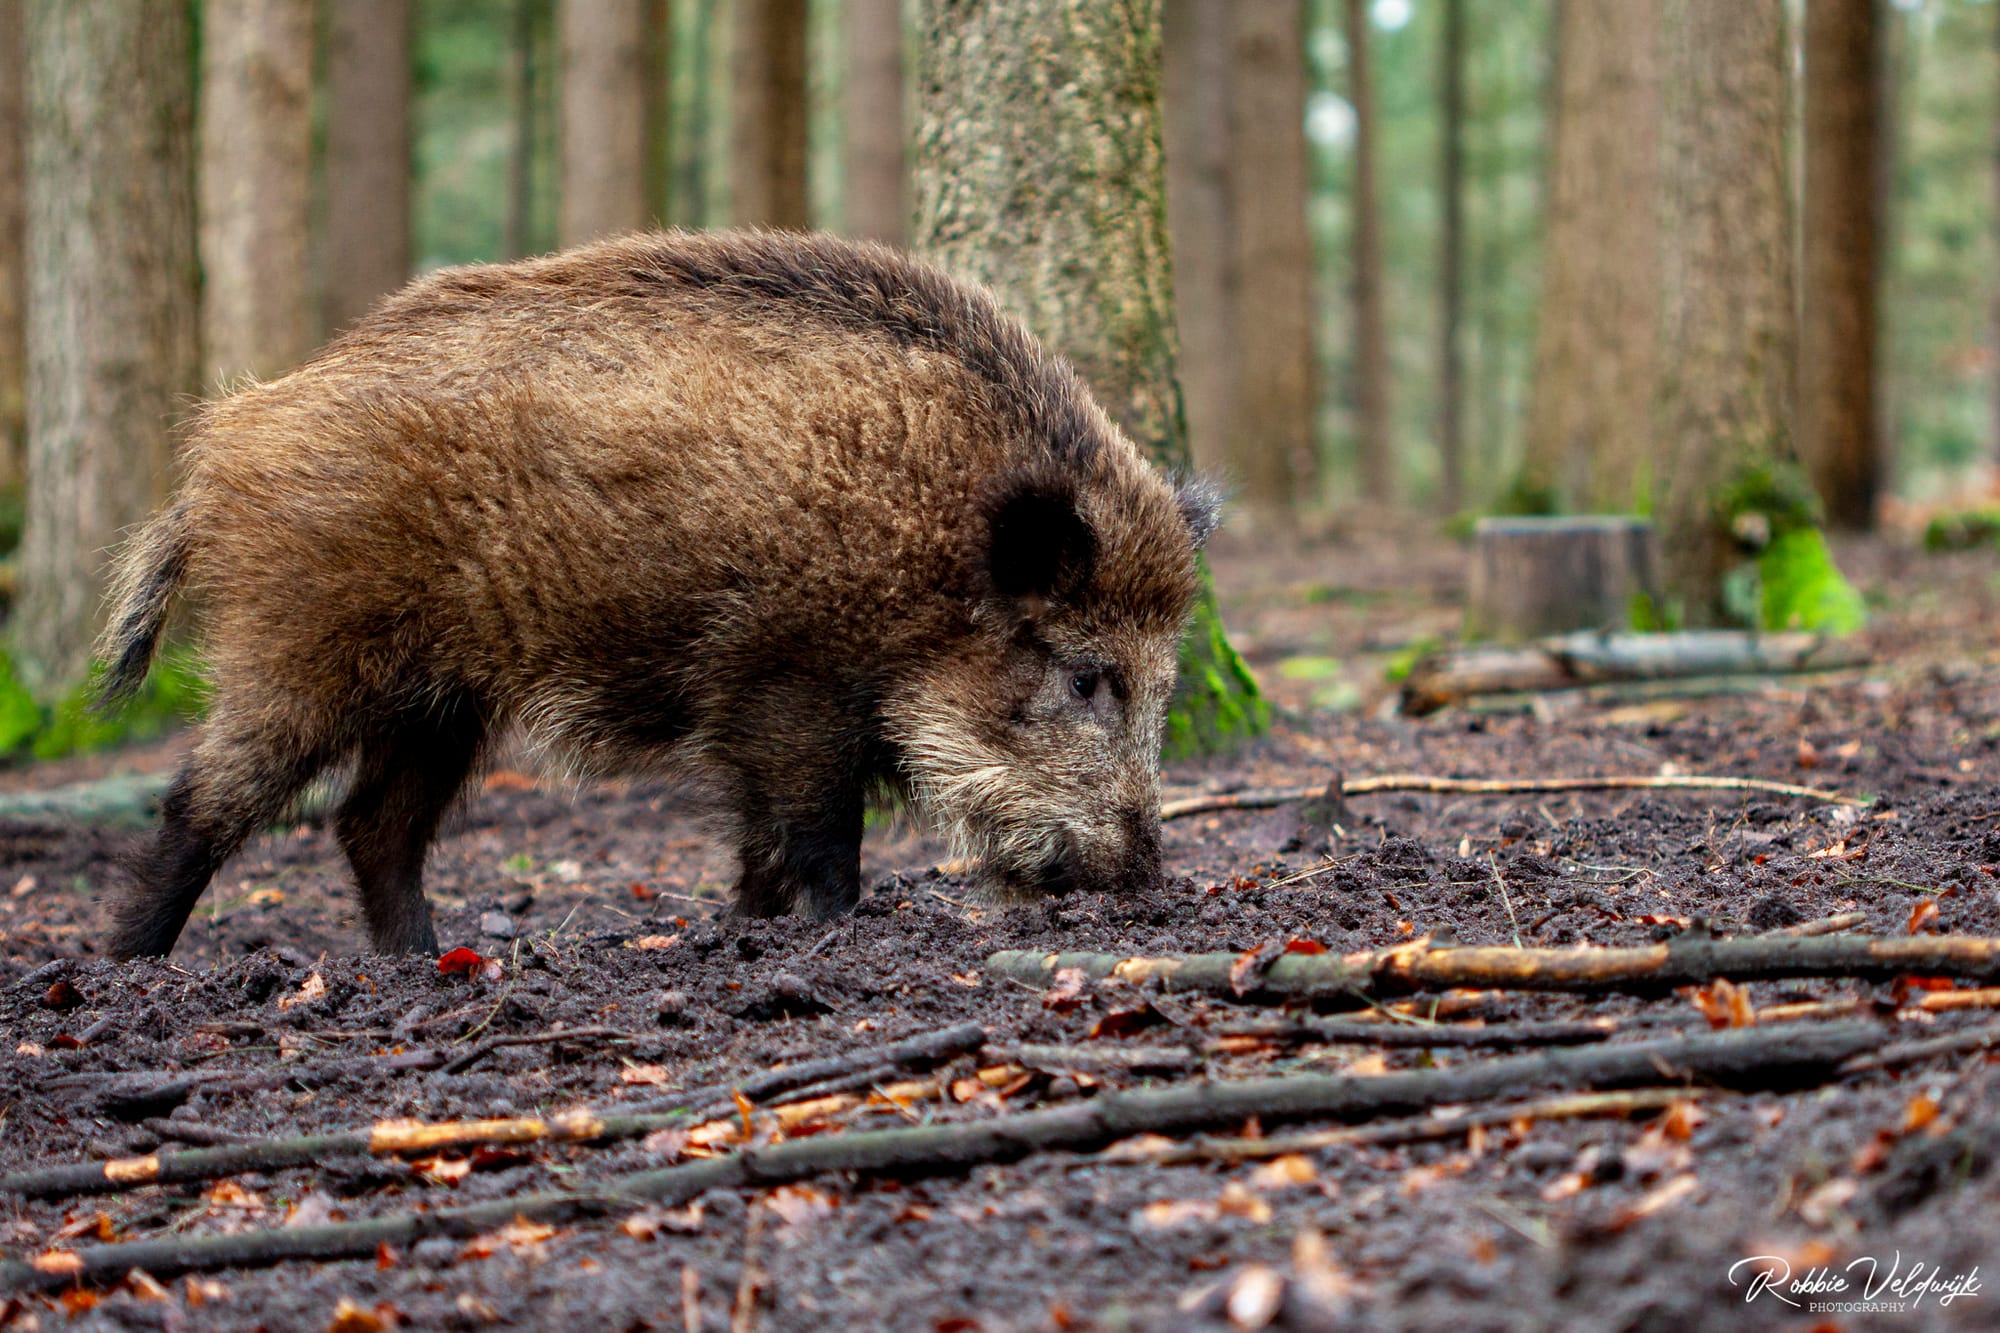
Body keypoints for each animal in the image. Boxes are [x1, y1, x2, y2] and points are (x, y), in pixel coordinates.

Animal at [96, 229, 1218, 959]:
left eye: (1168, 685)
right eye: (1088, 676)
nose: (1145, 877)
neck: (936, 541)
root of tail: (224, 442)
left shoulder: (768, 703)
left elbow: (764, 839)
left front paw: (745, 928)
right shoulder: (789, 679)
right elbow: (820, 832)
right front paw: (833, 931)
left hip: (439, 698)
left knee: (372, 823)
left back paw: (428, 963)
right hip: (302, 643)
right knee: (205, 797)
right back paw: (132, 964)